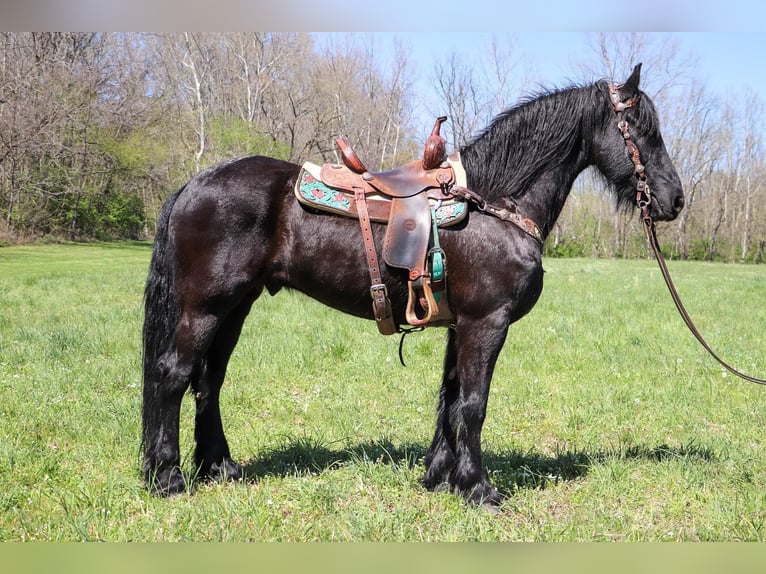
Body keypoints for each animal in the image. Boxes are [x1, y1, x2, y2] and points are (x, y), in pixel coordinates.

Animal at [142, 65, 684, 506]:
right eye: (644, 130)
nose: (675, 200)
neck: (495, 203)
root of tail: (194, 184)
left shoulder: (460, 326)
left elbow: (450, 400)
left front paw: (441, 478)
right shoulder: (487, 324)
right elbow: (473, 404)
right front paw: (479, 489)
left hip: (235, 307)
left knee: (208, 381)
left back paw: (219, 466)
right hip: (205, 307)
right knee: (172, 375)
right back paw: (167, 477)